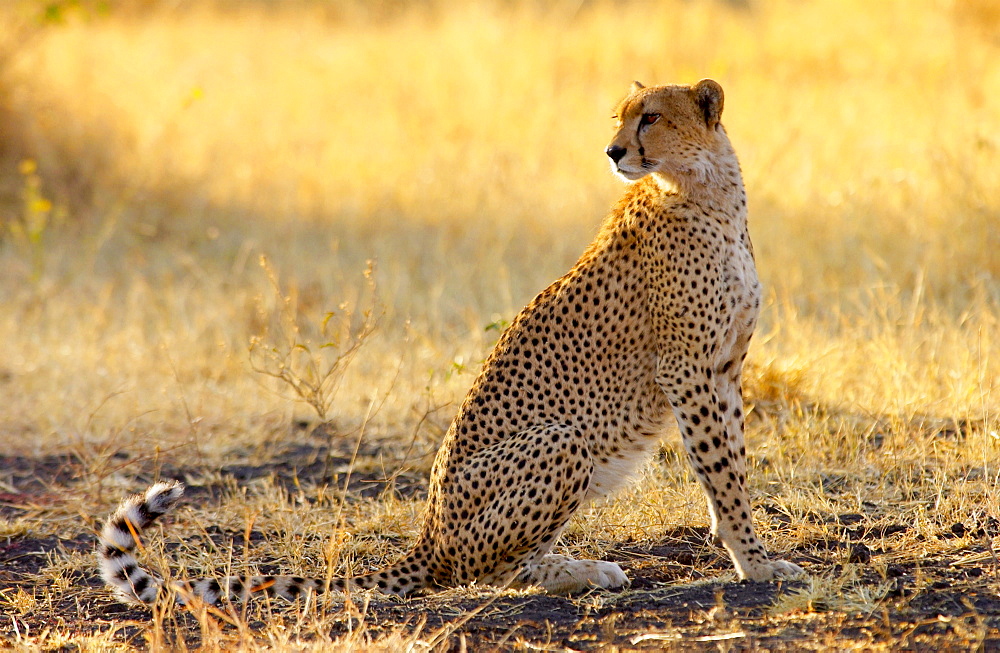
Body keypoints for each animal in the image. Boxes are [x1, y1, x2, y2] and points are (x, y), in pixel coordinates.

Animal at [99, 80, 804, 608]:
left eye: (650, 117)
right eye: (620, 118)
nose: (611, 151)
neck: (708, 190)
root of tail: (428, 537)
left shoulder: (724, 368)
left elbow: (733, 464)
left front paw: (748, 551)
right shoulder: (689, 370)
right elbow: (723, 470)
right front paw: (756, 563)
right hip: (562, 438)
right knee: (489, 572)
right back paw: (581, 572)